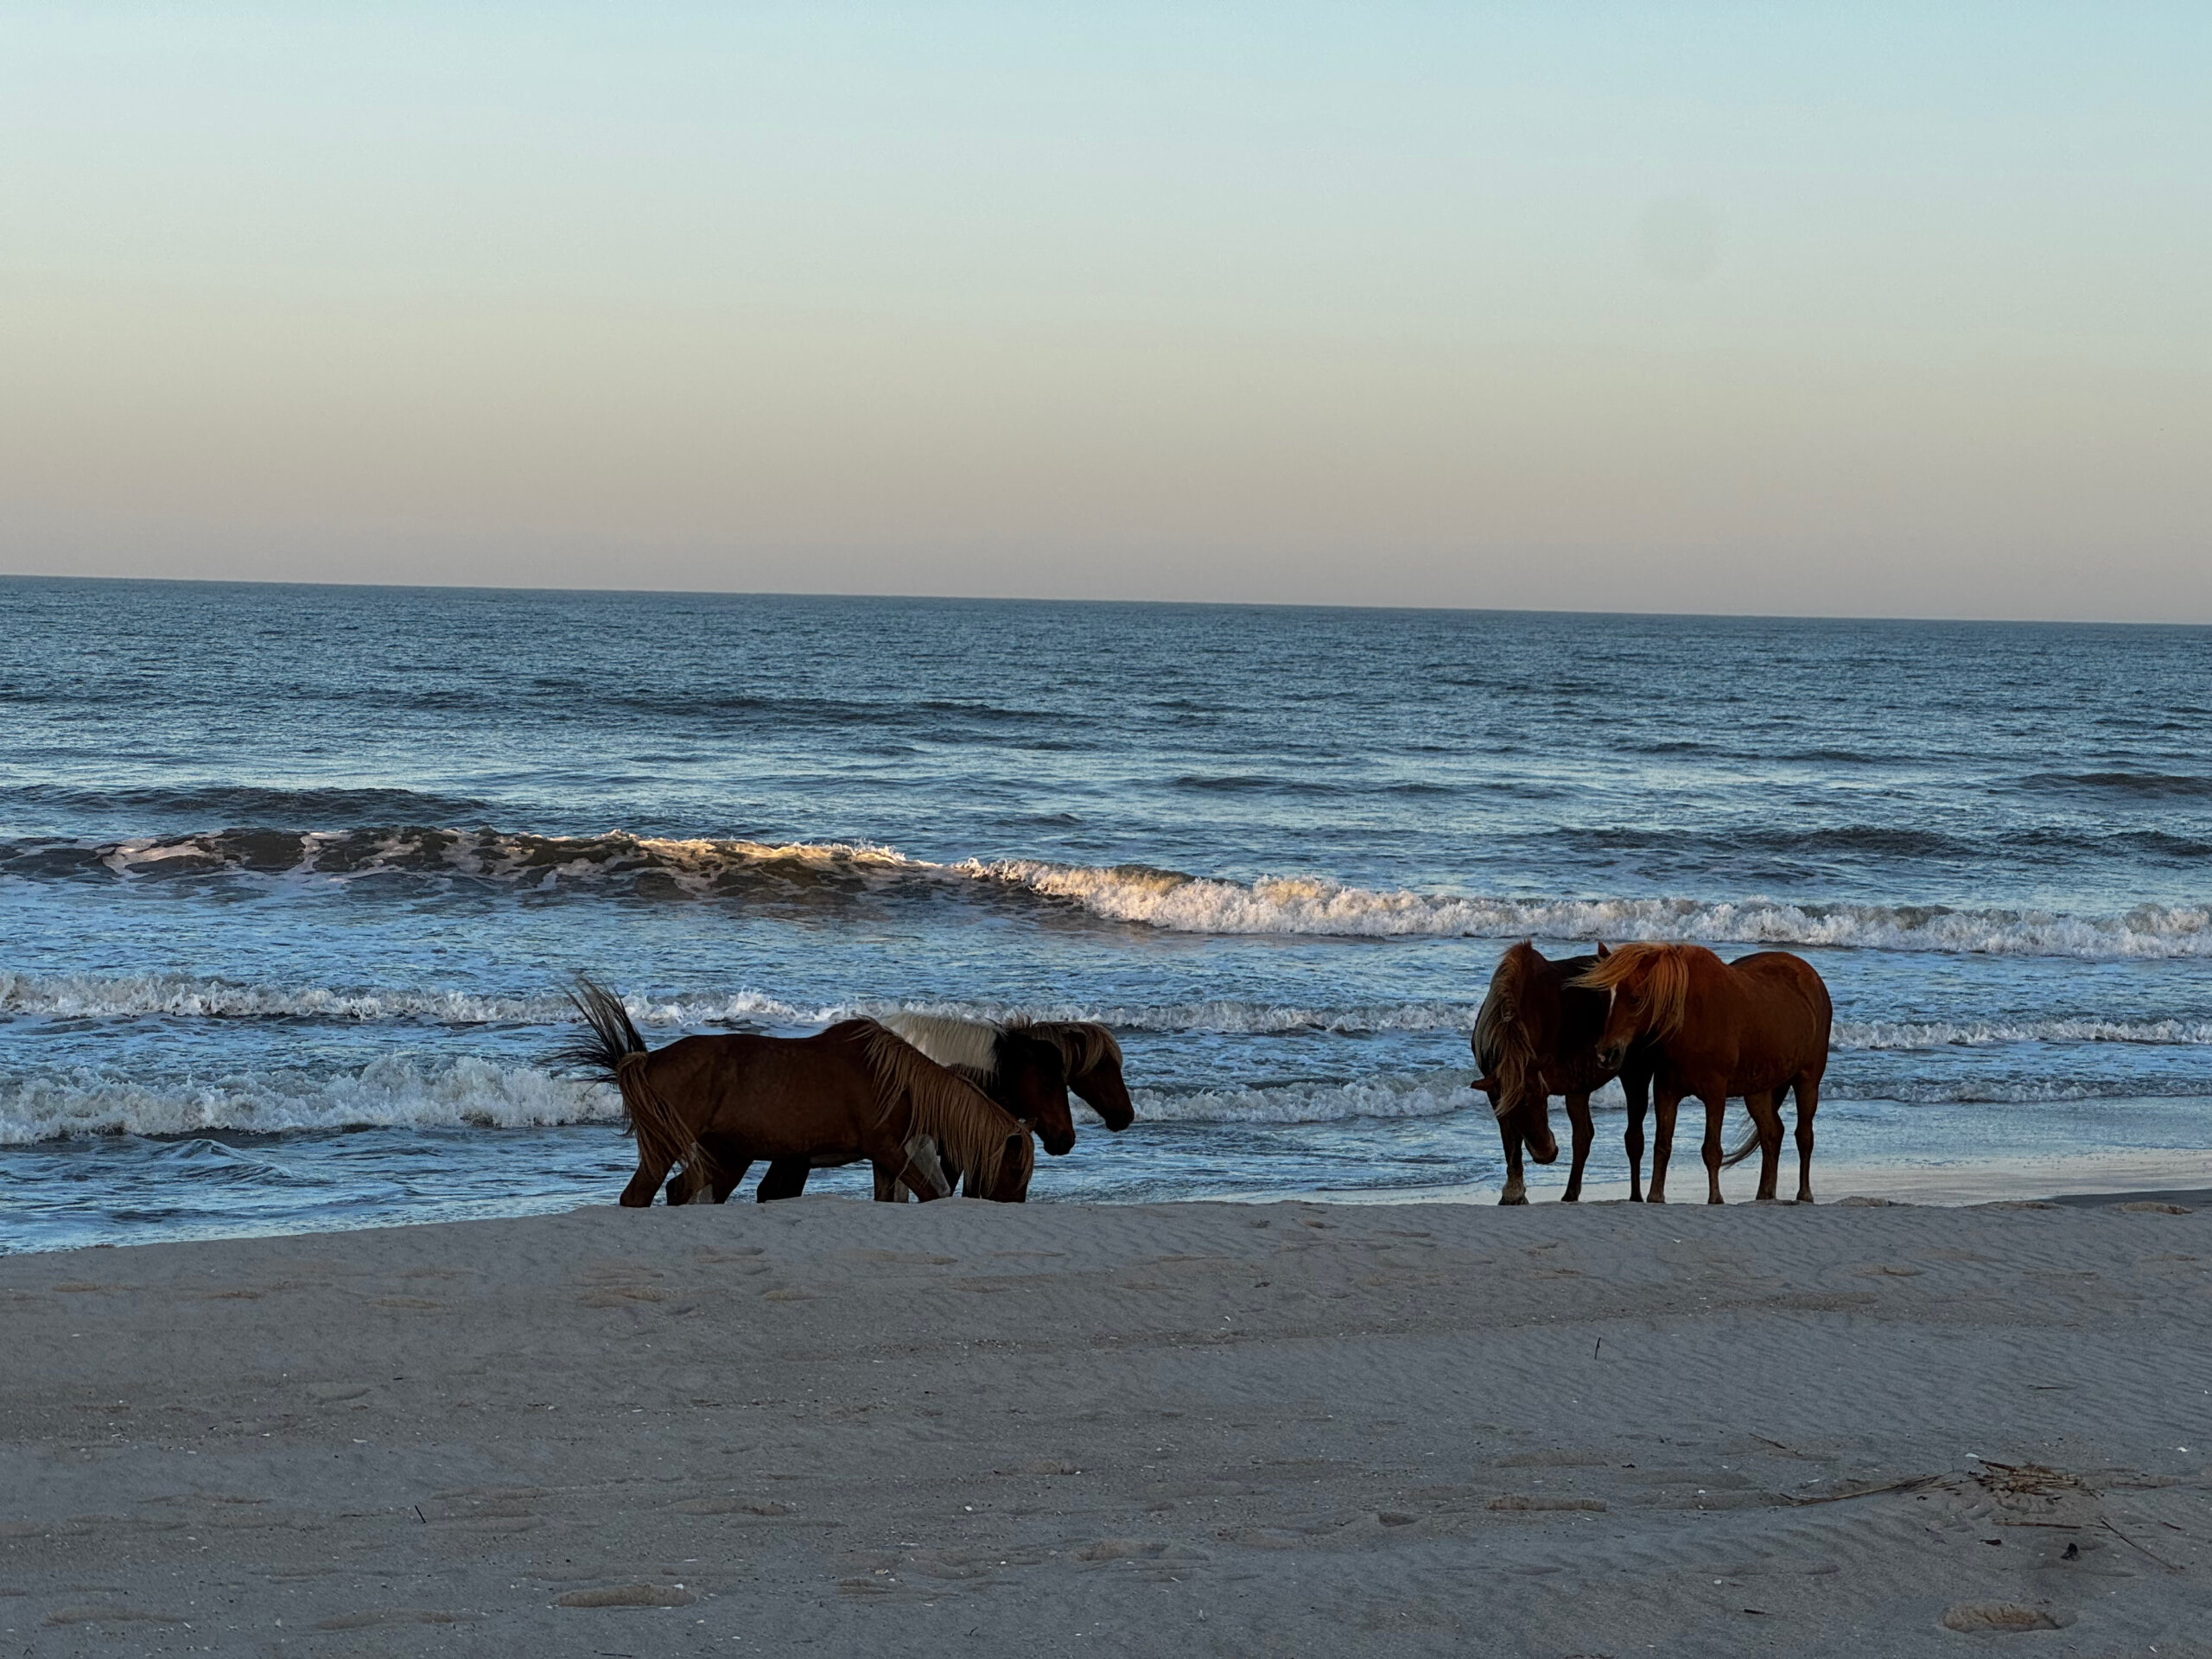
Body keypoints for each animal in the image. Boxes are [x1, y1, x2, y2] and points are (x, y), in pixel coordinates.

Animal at [558, 979, 1032, 1207]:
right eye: (1014, 1169)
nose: (1013, 1206)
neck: (894, 1080)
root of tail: (648, 1060)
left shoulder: (884, 1159)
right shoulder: (888, 1150)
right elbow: (932, 1194)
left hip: (726, 1156)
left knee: (678, 1190)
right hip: (669, 1147)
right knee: (640, 1196)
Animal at [1471, 941, 1652, 1204]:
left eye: (1543, 1099)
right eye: (1515, 1111)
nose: (1546, 1154)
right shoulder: (1496, 1093)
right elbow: (1510, 1143)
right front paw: (1514, 1192)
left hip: (1635, 1073)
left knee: (1633, 1138)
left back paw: (1636, 1195)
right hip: (1579, 1086)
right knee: (1584, 1136)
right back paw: (1570, 1193)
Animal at [1575, 943, 1832, 1204]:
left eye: (1635, 998)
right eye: (1605, 997)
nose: (1606, 1054)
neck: (1689, 1017)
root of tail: (1812, 978)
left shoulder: (1715, 1092)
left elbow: (1711, 1149)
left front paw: (1715, 1197)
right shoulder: (1665, 1090)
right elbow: (1662, 1145)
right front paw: (1656, 1195)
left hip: (1808, 1081)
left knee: (1804, 1136)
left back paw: (1804, 1193)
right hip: (1758, 1088)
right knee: (1772, 1133)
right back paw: (1764, 1194)